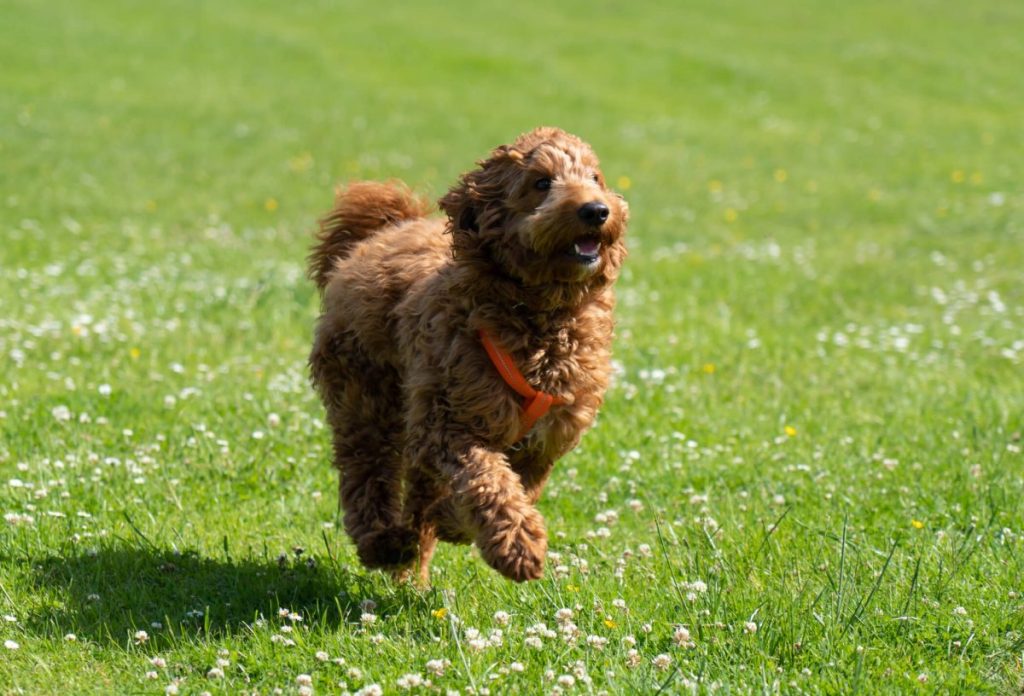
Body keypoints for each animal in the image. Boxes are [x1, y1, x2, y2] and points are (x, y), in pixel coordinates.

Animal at [305, 126, 622, 581]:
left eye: (595, 177)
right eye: (541, 182)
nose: (596, 210)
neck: (539, 317)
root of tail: (385, 229)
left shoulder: (543, 443)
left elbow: (513, 486)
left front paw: (453, 522)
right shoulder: (450, 425)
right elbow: (487, 481)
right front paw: (517, 545)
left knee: (417, 490)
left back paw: (412, 552)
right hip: (365, 393)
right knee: (366, 472)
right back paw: (382, 543)